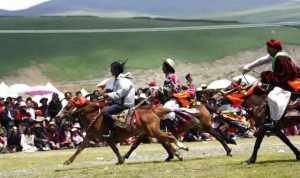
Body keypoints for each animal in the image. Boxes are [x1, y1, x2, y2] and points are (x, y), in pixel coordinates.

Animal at [56, 96, 186, 165]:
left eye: (68, 106)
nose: (57, 117)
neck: (94, 116)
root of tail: (152, 110)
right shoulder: (90, 136)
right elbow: (80, 148)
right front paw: (68, 161)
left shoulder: (106, 138)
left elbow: (115, 149)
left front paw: (120, 160)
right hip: (151, 132)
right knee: (167, 137)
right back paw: (176, 153)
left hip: (153, 131)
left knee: (169, 136)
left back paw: (181, 148)